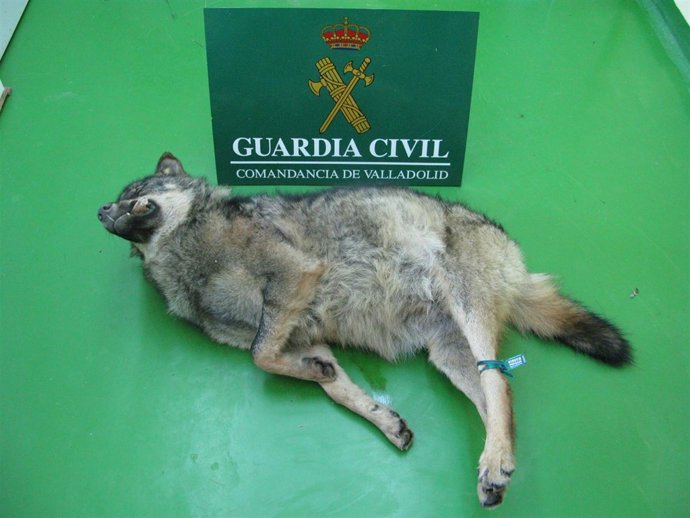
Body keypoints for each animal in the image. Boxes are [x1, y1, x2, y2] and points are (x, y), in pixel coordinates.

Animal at [97, 153, 632, 508]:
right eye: (118, 199)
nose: (101, 211)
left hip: (468, 313)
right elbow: (334, 387)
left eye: (134, 198)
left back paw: (495, 459)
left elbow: (260, 357)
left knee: (499, 380)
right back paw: (494, 467)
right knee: (498, 396)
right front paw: (381, 417)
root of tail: (518, 268)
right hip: (448, 356)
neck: (185, 250)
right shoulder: (301, 333)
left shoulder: (293, 277)